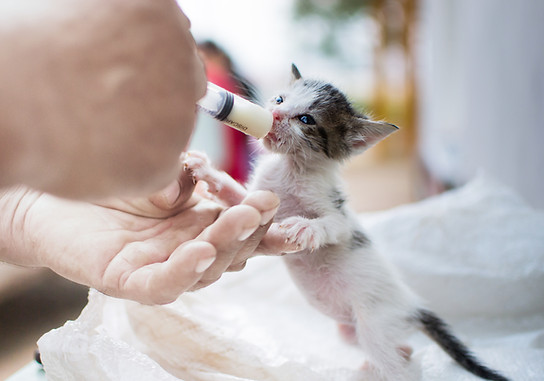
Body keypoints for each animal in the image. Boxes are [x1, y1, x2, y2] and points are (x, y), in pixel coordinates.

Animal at [186, 65, 510, 380]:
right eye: (279, 100)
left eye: (306, 119)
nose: (274, 115)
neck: (290, 168)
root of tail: (412, 308)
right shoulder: (259, 198)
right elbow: (236, 198)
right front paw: (208, 173)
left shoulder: (337, 213)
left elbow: (334, 226)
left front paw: (308, 227)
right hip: (351, 331)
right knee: (396, 348)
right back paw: (389, 358)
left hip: (375, 324)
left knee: (396, 367)